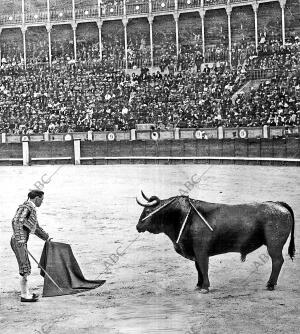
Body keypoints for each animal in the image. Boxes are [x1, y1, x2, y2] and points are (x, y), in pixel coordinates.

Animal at [136, 192, 296, 294]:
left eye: (147, 211)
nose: (138, 227)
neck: (185, 216)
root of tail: (278, 204)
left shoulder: (201, 251)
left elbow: (203, 267)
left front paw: (205, 287)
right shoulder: (196, 252)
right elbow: (198, 269)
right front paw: (198, 285)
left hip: (274, 245)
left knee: (277, 261)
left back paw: (270, 285)